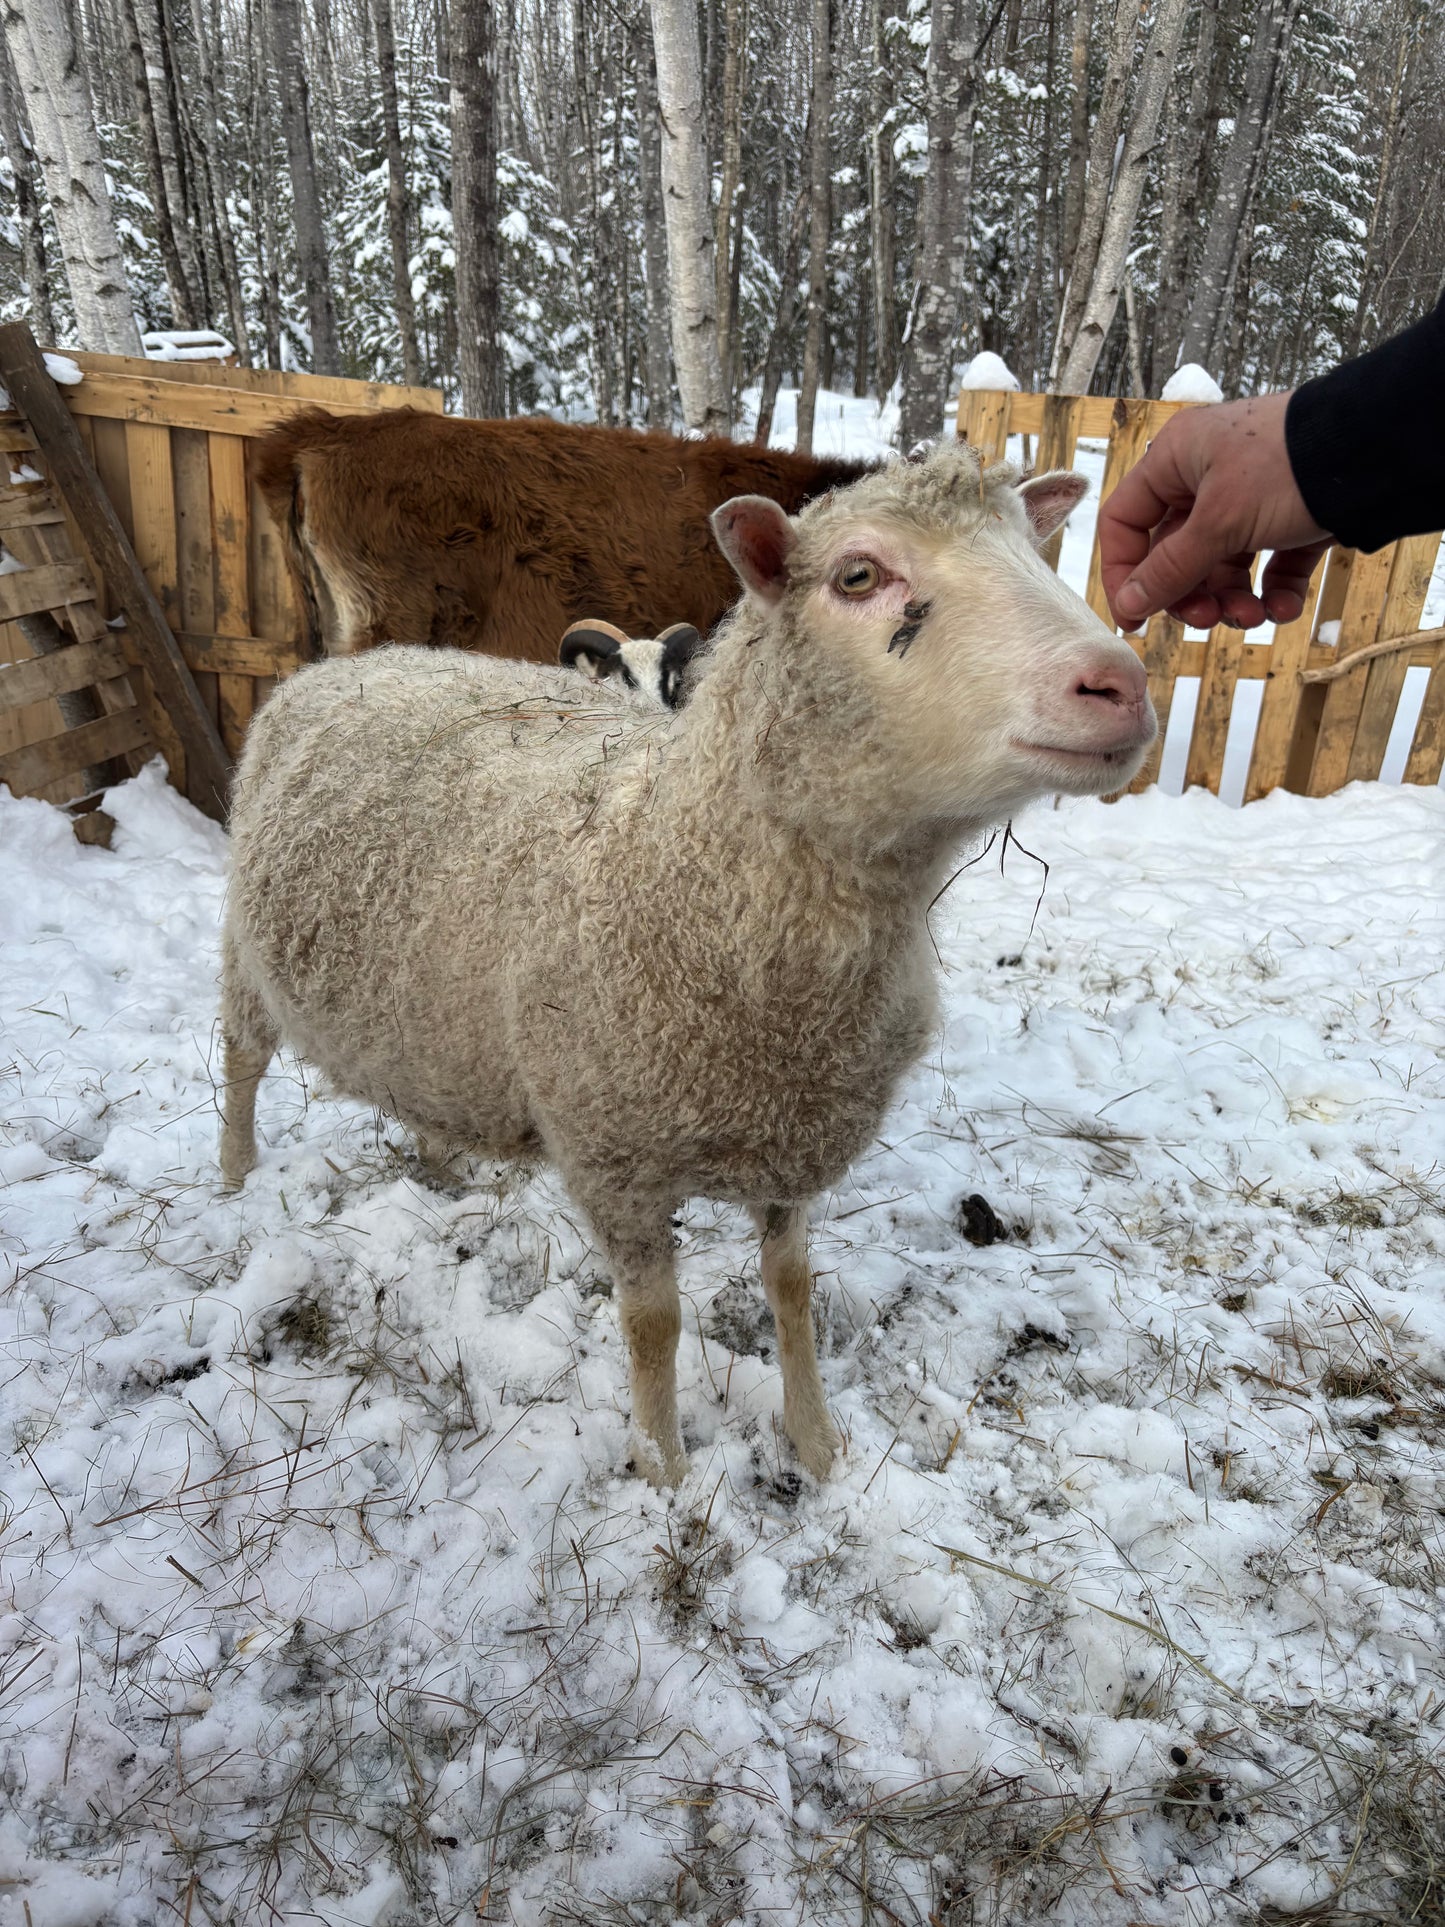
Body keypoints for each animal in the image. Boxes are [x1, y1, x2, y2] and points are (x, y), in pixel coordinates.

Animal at [220, 441, 1155, 1487]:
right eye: (857, 576)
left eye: (1036, 549)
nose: (1119, 684)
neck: (684, 859)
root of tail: (360, 662)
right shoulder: (614, 1160)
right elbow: (654, 1323)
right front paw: (663, 1468)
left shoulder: (792, 1136)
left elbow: (791, 1286)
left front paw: (816, 1443)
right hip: (243, 951)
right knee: (241, 1063)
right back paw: (234, 1180)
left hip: (424, 1009)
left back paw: (437, 1159)